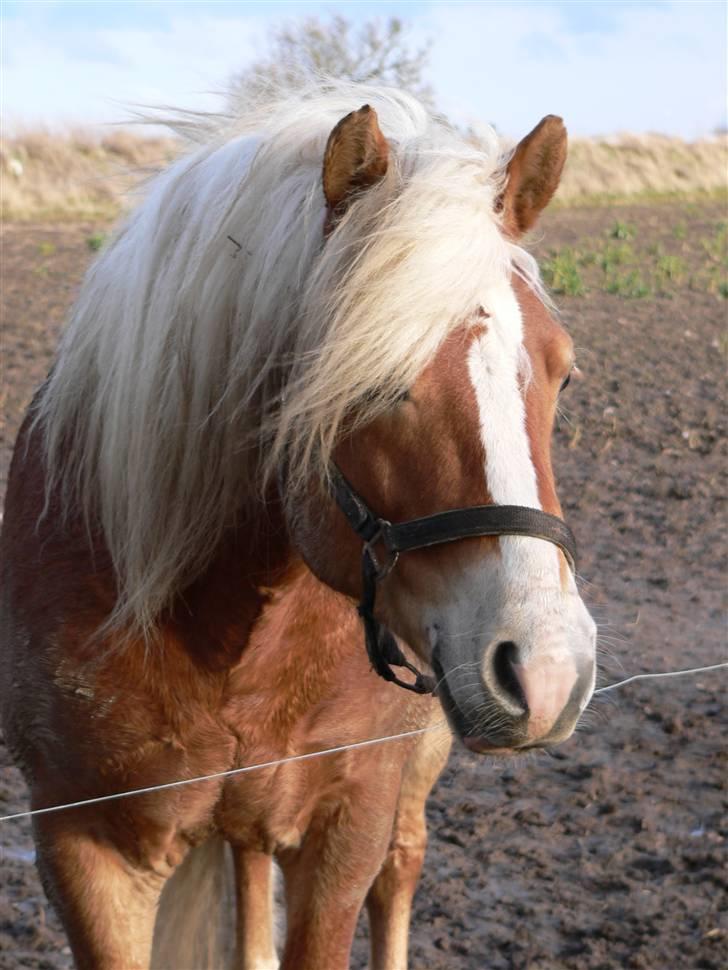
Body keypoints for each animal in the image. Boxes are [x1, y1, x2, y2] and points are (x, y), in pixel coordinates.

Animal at [0, 85, 596, 968]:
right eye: (369, 383)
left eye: (563, 371)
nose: (547, 669)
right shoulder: (85, 847)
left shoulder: (346, 826)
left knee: (403, 866)